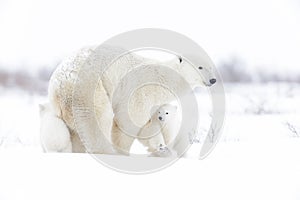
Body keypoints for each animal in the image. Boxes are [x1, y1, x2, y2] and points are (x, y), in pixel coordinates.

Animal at [47, 45, 216, 155]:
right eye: (200, 67)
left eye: (211, 66)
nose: (213, 80)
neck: (163, 77)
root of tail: (58, 83)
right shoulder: (140, 91)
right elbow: (129, 121)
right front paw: (123, 152)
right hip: (88, 87)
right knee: (98, 118)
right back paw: (106, 151)